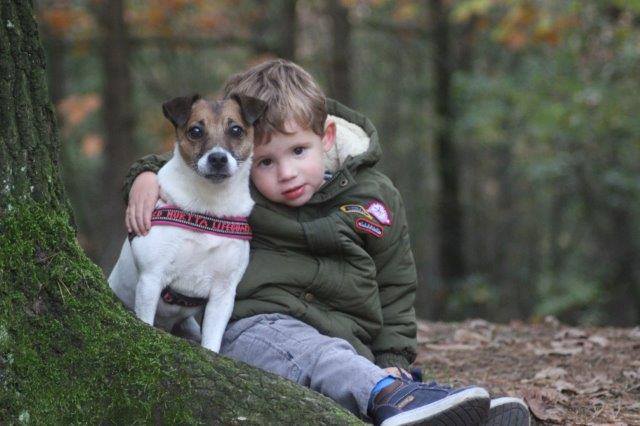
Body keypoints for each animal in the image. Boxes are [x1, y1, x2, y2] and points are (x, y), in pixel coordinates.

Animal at [108, 93, 266, 352]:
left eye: (236, 130)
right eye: (195, 131)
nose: (218, 158)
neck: (208, 209)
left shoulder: (223, 294)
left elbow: (211, 344)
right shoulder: (151, 279)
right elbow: (146, 321)